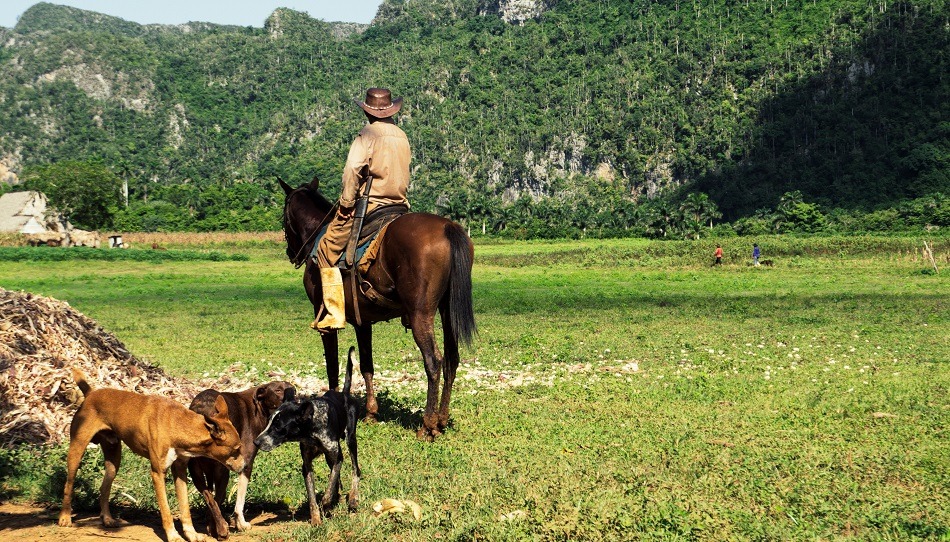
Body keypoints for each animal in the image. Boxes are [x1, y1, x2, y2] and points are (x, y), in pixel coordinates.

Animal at [59, 370, 245, 542]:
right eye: (236, 449)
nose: (244, 466)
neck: (176, 424)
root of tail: (91, 394)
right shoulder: (157, 473)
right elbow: (166, 510)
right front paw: (173, 536)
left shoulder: (180, 471)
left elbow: (185, 508)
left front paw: (191, 534)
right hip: (77, 449)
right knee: (68, 484)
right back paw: (65, 517)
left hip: (113, 460)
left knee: (104, 488)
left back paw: (107, 519)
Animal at [188, 382, 296, 540]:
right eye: (278, 390)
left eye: (294, 390)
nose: (295, 396)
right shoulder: (246, 463)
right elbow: (239, 499)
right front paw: (241, 524)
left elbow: (212, 500)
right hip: (222, 472)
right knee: (217, 499)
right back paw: (221, 529)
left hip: (198, 473)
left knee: (211, 499)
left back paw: (215, 527)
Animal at [253, 350, 360, 524]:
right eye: (268, 421)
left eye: (278, 427)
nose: (255, 442)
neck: (312, 427)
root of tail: (344, 394)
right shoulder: (307, 464)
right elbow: (312, 497)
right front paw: (316, 519)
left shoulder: (338, 457)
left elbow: (328, 490)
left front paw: (326, 504)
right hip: (330, 456)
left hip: (350, 440)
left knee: (356, 470)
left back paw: (353, 499)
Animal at [280, 178, 476, 442]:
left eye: (284, 217)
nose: (291, 253)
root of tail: (448, 227)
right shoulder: (363, 322)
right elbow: (366, 365)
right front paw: (372, 413)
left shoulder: (325, 320)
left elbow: (332, 365)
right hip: (447, 312)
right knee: (451, 359)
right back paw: (441, 420)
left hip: (420, 314)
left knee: (434, 361)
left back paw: (427, 425)